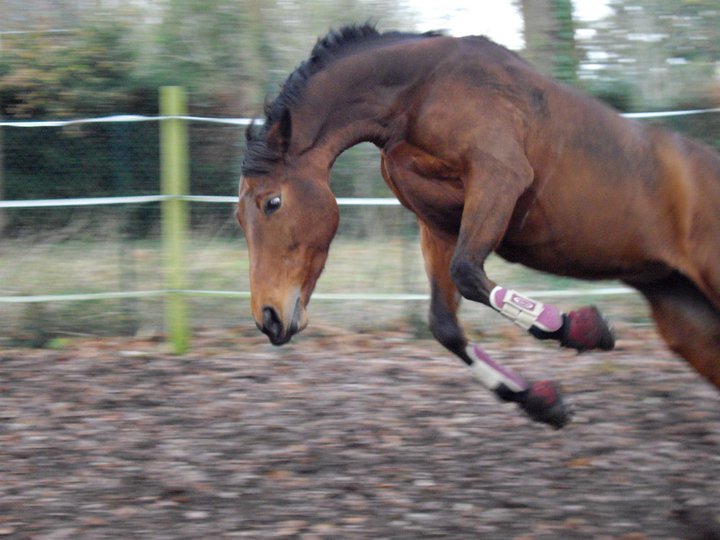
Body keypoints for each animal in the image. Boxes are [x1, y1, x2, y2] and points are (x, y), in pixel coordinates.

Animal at [239, 25, 720, 428]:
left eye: (272, 203)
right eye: (240, 216)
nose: (269, 318)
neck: (420, 90)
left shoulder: (499, 176)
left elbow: (469, 274)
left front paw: (584, 328)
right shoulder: (439, 226)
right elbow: (445, 324)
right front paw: (541, 400)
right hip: (688, 319)